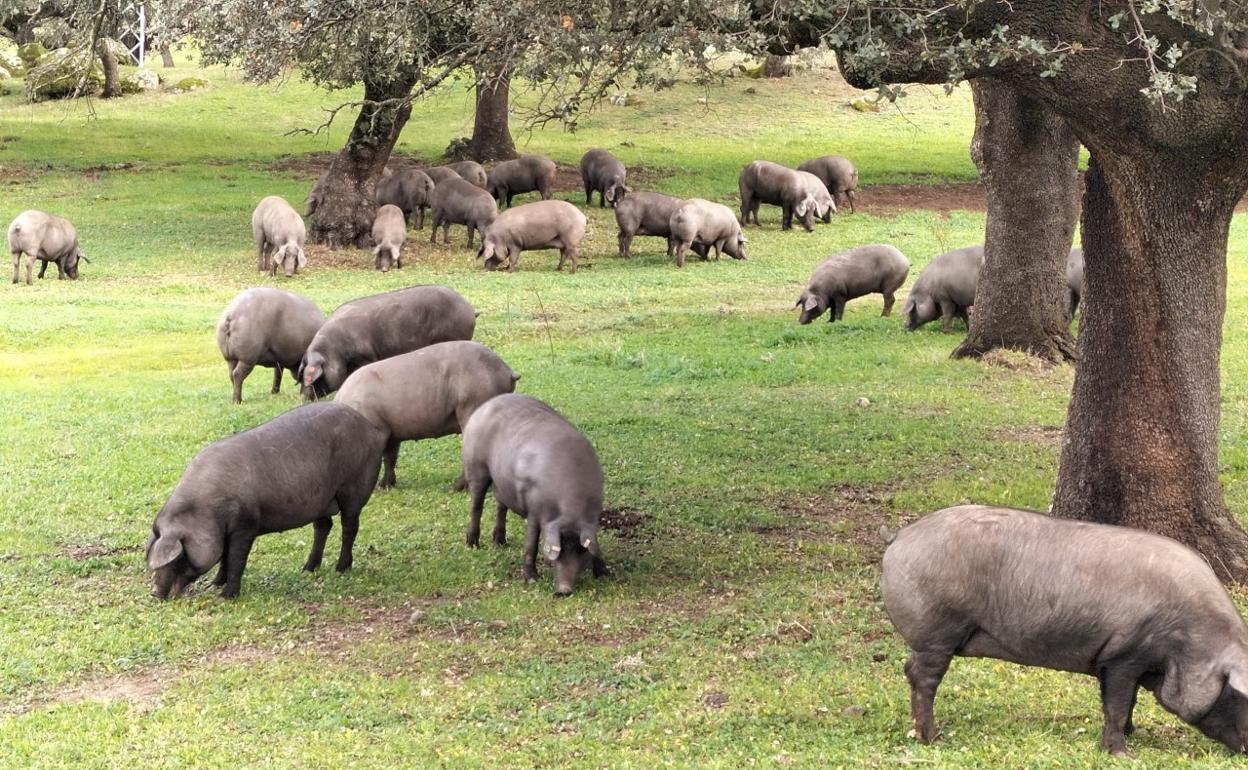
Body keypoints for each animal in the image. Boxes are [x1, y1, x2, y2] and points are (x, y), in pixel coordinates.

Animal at [144, 401, 384, 601]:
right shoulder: (225, 532)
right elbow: (224, 557)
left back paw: (340, 568)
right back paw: (307, 568)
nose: (155, 593)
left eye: (177, 558)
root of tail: (372, 429)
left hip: (353, 488)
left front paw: (226, 596)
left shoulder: (246, 526)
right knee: (324, 526)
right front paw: (214, 584)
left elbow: (236, 559)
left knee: (349, 527)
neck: (206, 510)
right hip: (321, 499)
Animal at [334, 341, 519, 486]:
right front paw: (386, 486)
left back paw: (457, 487)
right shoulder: (391, 433)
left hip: (473, 403)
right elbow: (390, 458)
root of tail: (506, 370)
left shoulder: (378, 430)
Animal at [464, 394, 609, 596]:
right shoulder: (534, 509)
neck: (571, 506)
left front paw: (604, 574)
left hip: (502, 483)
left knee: (501, 506)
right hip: (475, 467)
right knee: (476, 505)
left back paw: (500, 542)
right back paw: (473, 545)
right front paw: (532, 579)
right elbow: (531, 544)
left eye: (581, 552)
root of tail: (486, 405)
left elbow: (595, 542)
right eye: (557, 554)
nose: (563, 590)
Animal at [883, 504, 1248, 758]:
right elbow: (1117, 704)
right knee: (922, 678)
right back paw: (933, 738)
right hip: (937, 632)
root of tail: (900, 537)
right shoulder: (1123, 656)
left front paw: (1133, 733)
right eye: (1241, 697)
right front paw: (1123, 753)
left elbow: (1125, 702)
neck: (1187, 642)